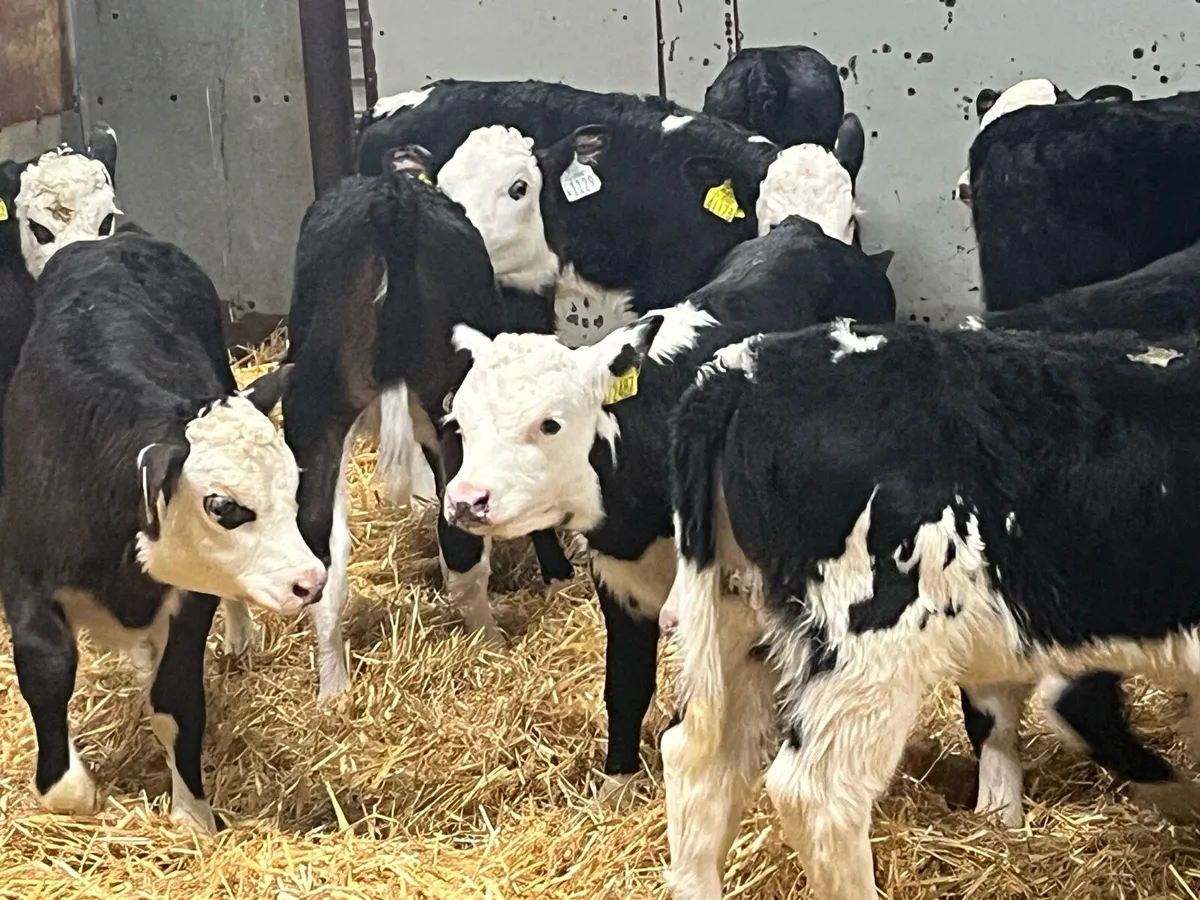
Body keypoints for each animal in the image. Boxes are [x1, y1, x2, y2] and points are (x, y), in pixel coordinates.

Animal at [0, 230, 325, 833]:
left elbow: (176, 698)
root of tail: (116, 242)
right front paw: (69, 786)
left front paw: (192, 812)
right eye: (222, 505)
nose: (310, 582)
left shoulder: (189, 597)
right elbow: (47, 670)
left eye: (293, 485)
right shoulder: (23, 578)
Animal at [264, 164, 571, 700]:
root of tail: (394, 201)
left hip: (312, 406)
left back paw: (333, 691)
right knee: (461, 543)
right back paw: (490, 649)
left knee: (319, 551)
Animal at [438, 215, 895, 801]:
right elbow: (626, 683)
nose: (465, 500)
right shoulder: (618, 579)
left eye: (550, 423)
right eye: (460, 422)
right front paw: (617, 781)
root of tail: (806, 231)